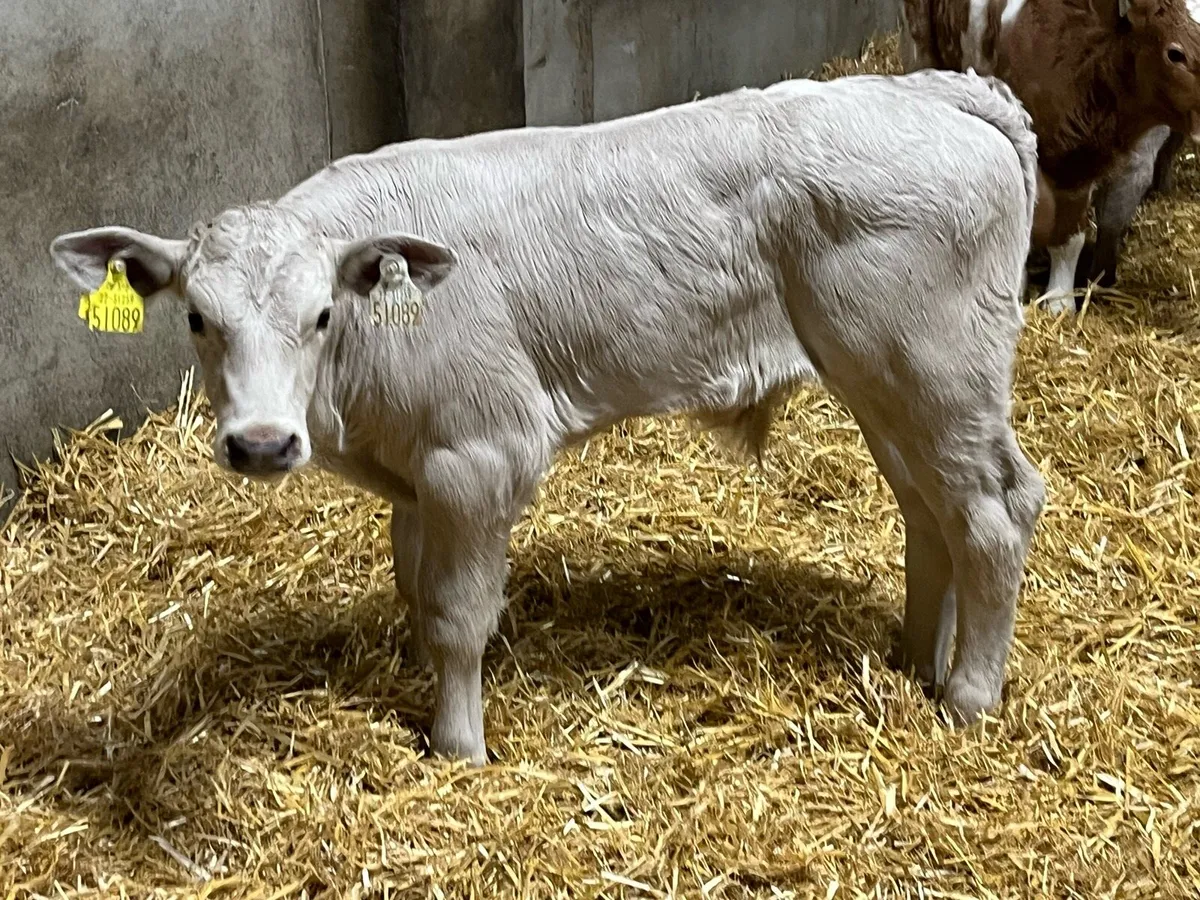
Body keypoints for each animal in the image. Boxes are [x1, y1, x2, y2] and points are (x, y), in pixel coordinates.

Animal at [50, 69, 1045, 766]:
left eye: (322, 315)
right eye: (195, 317)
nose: (261, 443)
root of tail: (929, 88)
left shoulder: (477, 453)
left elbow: (459, 612)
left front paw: (457, 745)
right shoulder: (417, 476)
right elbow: (414, 589)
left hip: (937, 369)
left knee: (995, 512)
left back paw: (970, 696)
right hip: (889, 383)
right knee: (931, 511)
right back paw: (918, 658)